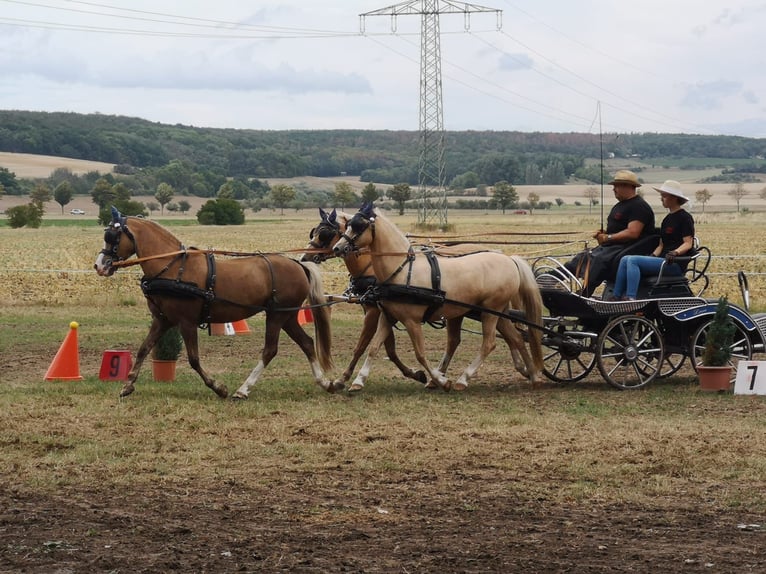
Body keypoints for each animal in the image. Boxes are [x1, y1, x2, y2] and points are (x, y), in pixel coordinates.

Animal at [93, 207, 337, 399]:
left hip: (277, 315)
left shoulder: (186, 322)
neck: (172, 267)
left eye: (112, 235)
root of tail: (298, 264)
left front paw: (218, 388)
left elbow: (193, 359)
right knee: (307, 343)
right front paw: (127, 385)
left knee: (270, 350)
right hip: (287, 316)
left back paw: (243, 389)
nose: (99, 265)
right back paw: (325, 383)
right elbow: (144, 349)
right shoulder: (162, 320)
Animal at [301, 207, 427, 390]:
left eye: (325, 233)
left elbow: (361, 346)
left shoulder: (374, 312)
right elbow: (390, 349)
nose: (304, 258)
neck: (371, 267)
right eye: (314, 232)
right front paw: (415, 373)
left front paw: (344, 378)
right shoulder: (381, 311)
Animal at [332, 202, 544, 391]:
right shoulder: (388, 317)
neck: (402, 270)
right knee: (516, 338)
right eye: (348, 224)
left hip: (491, 311)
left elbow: (420, 354)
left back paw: (463, 379)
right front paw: (358, 381)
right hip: (497, 312)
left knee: (489, 343)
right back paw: (534, 376)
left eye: (359, 226)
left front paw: (441, 380)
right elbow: (374, 347)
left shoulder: (412, 321)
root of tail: (509, 259)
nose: (337, 248)